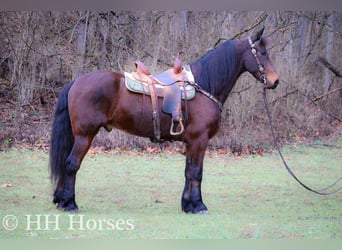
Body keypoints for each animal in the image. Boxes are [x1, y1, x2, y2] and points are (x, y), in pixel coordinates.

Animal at [48, 28, 278, 214]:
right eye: (262, 53)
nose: (275, 81)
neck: (204, 86)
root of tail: (77, 81)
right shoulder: (199, 140)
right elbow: (196, 172)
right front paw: (198, 206)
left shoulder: (192, 142)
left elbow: (189, 172)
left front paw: (188, 205)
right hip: (85, 135)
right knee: (71, 164)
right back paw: (70, 204)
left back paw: (60, 200)